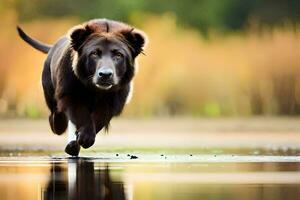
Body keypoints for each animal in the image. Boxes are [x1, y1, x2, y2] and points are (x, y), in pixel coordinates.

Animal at [17, 19, 146, 156]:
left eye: (119, 55)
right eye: (94, 54)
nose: (105, 74)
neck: (96, 90)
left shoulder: (113, 101)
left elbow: (99, 118)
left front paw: (82, 139)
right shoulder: (70, 93)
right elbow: (80, 115)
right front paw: (84, 138)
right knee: (55, 116)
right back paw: (60, 125)